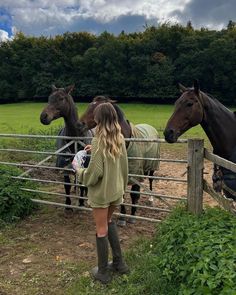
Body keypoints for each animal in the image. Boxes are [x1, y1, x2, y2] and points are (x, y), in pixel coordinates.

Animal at [40, 85, 92, 213]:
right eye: (49, 98)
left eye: (61, 98)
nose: (43, 117)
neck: (75, 137)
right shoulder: (64, 167)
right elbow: (67, 185)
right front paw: (68, 205)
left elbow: (82, 185)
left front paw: (81, 203)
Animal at [79, 96, 160, 227]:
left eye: (95, 108)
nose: (80, 123)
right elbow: (121, 195)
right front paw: (122, 217)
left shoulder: (135, 173)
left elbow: (134, 194)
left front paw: (132, 216)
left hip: (153, 166)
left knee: (151, 180)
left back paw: (151, 199)